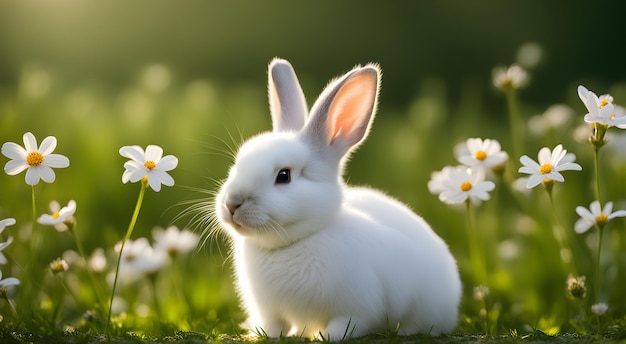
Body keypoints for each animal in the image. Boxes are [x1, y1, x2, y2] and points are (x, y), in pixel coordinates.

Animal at [214, 57, 458, 340]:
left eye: (283, 176)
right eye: (237, 164)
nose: (232, 204)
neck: (292, 243)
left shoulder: (358, 306)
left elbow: (349, 323)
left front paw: (326, 336)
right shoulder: (269, 311)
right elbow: (274, 325)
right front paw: (263, 335)